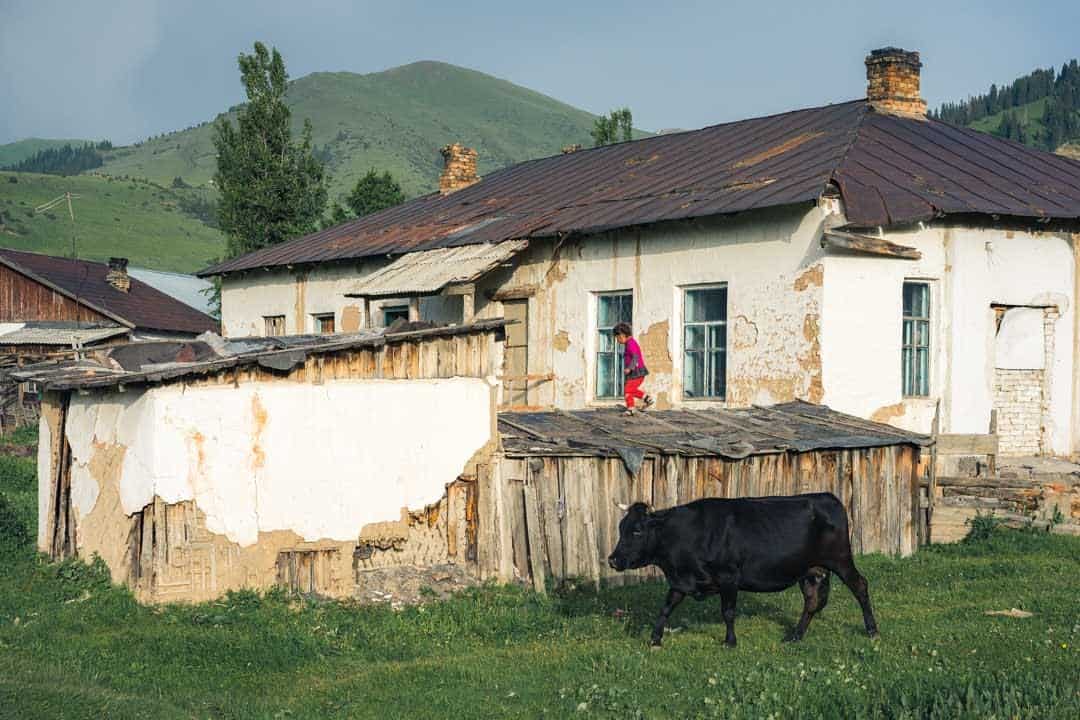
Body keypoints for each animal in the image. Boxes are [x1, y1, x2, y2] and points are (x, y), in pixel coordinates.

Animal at [609, 496, 876, 647]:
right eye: (620, 527)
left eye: (637, 530)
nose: (612, 560)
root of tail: (829, 498)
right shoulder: (681, 581)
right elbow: (665, 608)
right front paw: (655, 639)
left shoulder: (729, 577)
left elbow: (728, 612)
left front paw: (730, 641)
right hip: (811, 570)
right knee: (811, 601)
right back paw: (795, 636)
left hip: (840, 559)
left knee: (860, 586)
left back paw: (872, 630)